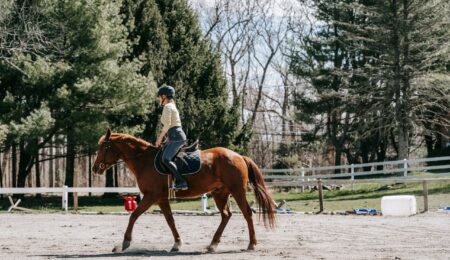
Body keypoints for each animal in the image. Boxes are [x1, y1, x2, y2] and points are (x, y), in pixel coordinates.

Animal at [92, 129, 274, 253]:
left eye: (103, 148)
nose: (95, 169)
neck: (144, 160)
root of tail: (239, 156)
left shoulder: (151, 196)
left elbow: (133, 216)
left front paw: (125, 243)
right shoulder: (161, 199)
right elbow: (170, 220)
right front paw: (177, 243)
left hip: (237, 191)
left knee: (247, 213)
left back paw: (251, 244)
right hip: (220, 193)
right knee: (226, 215)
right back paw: (213, 244)